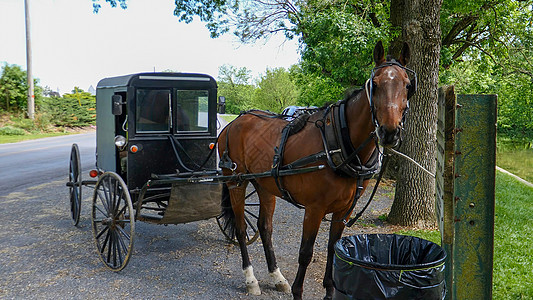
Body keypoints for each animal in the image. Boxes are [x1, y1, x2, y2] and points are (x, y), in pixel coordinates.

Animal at [218, 42, 414, 300]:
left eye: (407, 85)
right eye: (375, 83)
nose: (389, 132)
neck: (338, 142)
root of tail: (233, 124)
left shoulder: (343, 210)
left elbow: (333, 248)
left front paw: (330, 290)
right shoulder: (314, 209)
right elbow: (305, 253)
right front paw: (298, 292)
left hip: (264, 185)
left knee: (265, 229)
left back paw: (277, 277)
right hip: (236, 182)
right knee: (241, 229)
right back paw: (251, 279)